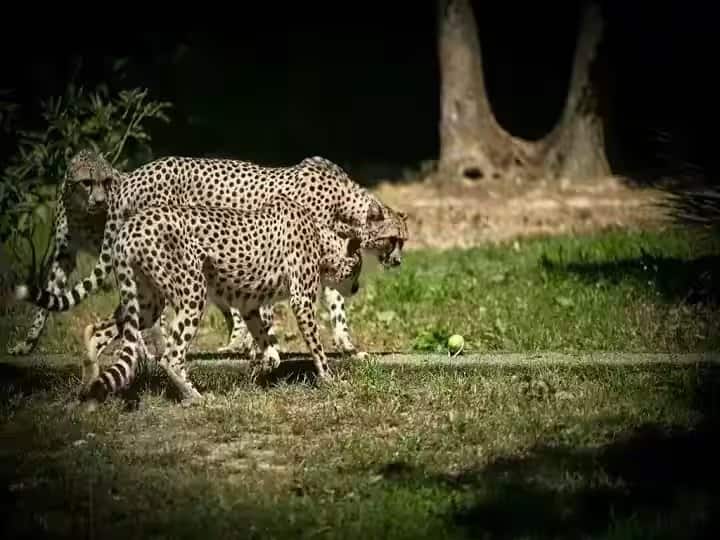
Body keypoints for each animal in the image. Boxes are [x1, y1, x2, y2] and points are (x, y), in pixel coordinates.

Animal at [15, 150, 408, 362]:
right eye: (393, 240)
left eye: (404, 241)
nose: (399, 262)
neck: (345, 204)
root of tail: (132, 176)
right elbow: (272, 309)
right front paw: (262, 349)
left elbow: (335, 305)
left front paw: (348, 346)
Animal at [73, 196, 364, 406]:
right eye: (357, 268)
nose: (357, 287)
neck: (320, 239)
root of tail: (130, 225)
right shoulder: (301, 301)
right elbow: (317, 348)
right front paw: (329, 379)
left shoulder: (249, 304)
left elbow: (268, 345)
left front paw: (263, 366)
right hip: (192, 293)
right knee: (171, 356)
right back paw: (194, 397)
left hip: (147, 303)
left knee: (98, 330)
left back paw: (90, 385)